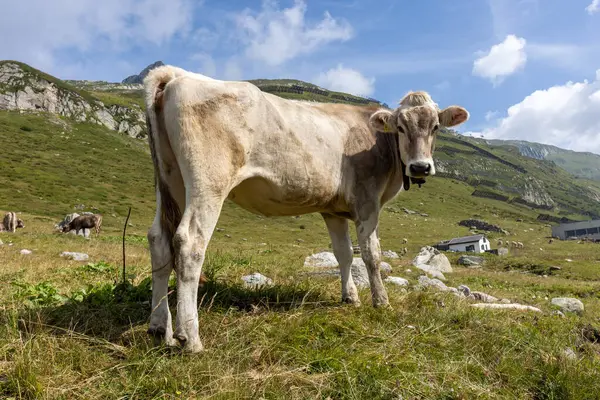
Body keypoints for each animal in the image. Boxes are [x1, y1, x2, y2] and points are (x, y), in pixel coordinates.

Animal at [144, 64, 468, 352]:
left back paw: (160, 328)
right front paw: (381, 302)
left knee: (159, 239)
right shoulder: (367, 201)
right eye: (400, 127)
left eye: (436, 127)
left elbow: (344, 254)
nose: (420, 167)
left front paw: (350, 297)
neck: (379, 142)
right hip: (208, 181)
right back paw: (190, 338)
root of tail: (176, 74)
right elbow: (371, 254)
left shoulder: (334, 210)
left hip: (170, 179)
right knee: (190, 242)